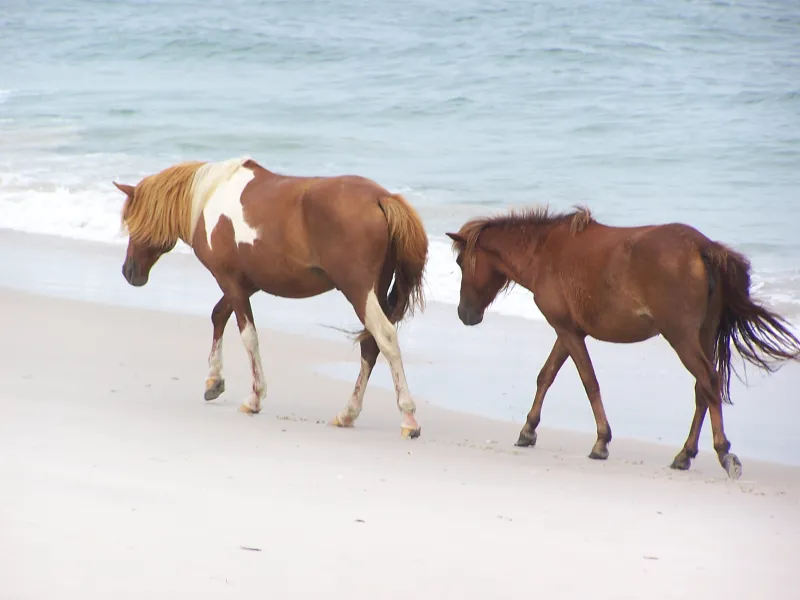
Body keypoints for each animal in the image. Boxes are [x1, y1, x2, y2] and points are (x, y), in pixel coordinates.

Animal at [113, 156, 428, 439]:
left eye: (132, 222)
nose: (129, 272)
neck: (209, 198)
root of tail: (380, 198)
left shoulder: (231, 282)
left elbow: (248, 336)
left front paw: (253, 398)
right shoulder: (245, 284)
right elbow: (218, 315)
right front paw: (214, 381)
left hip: (359, 292)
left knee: (385, 339)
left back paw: (408, 419)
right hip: (374, 293)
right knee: (370, 346)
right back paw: (347, 414)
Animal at [446, 206, 800, 479]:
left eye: (461, 263)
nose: (465, 314)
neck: (544, 252)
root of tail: (702, 246)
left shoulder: (567, 331)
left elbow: (588, 381)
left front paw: (601, 442)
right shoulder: (569, 331)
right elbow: (546, 376)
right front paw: (528, 430)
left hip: (682, 337)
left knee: (708, 381)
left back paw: (723, 452)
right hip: (704, 334)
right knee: (703, 389)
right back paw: (684, 455)